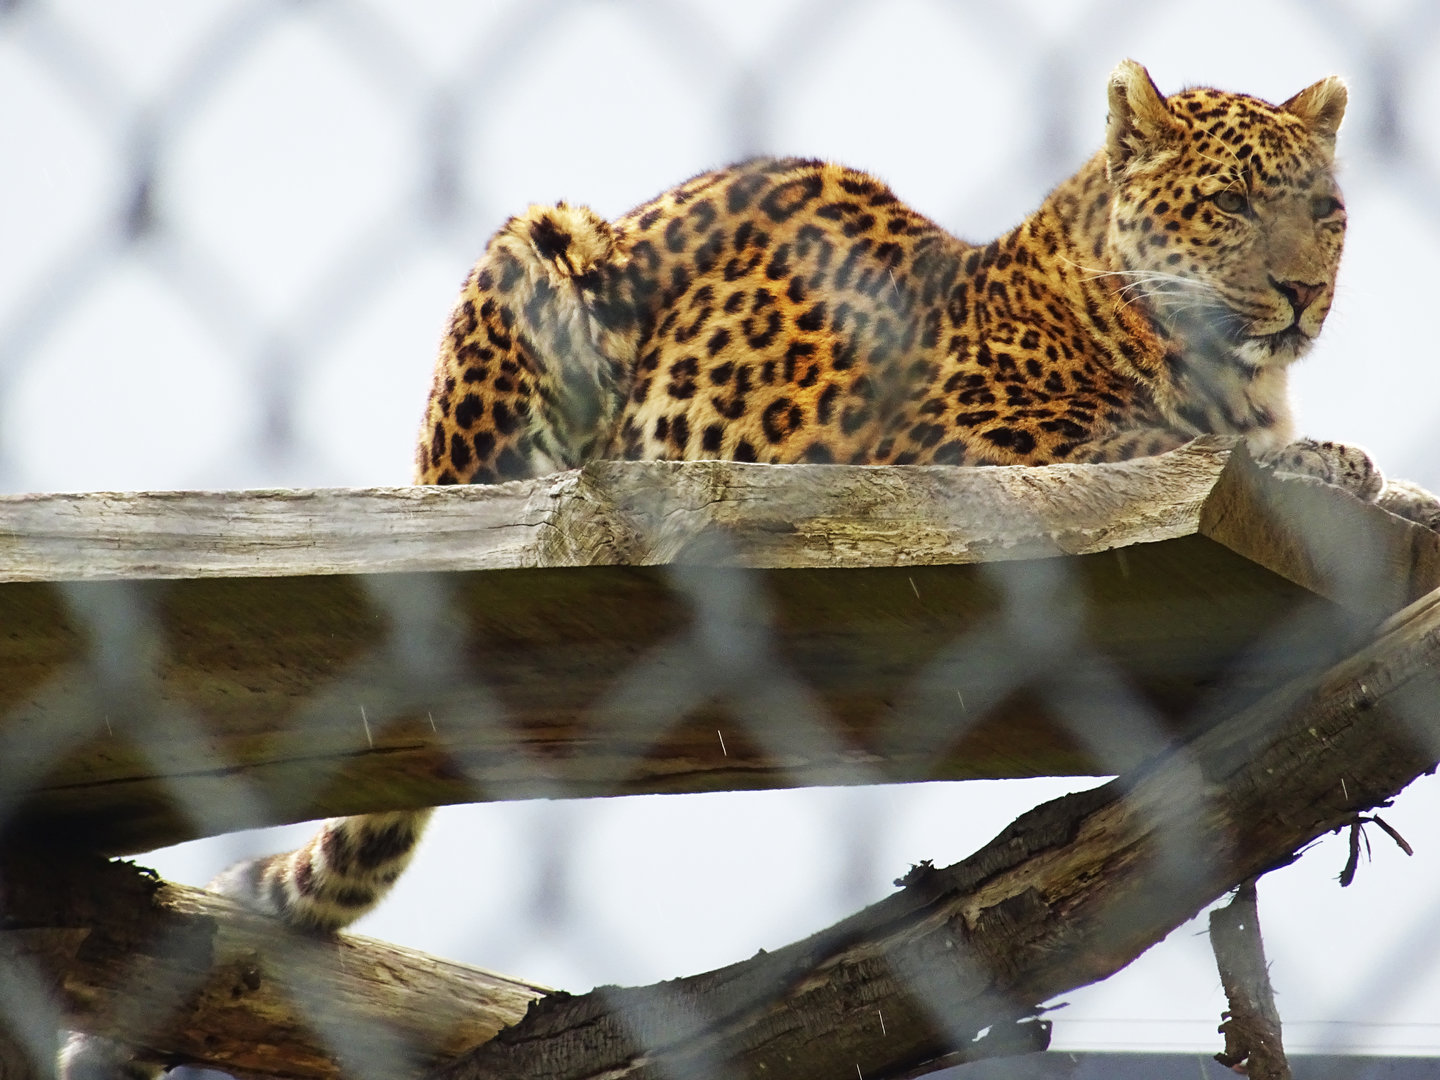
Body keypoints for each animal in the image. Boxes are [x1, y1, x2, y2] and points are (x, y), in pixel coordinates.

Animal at [62, 60, 1440, 1078]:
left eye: (1325, 212)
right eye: (1227, 208)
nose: (1302, 290)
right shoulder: (988, 449)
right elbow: (1179, 441)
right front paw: (1336, 459)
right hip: (540, 250)